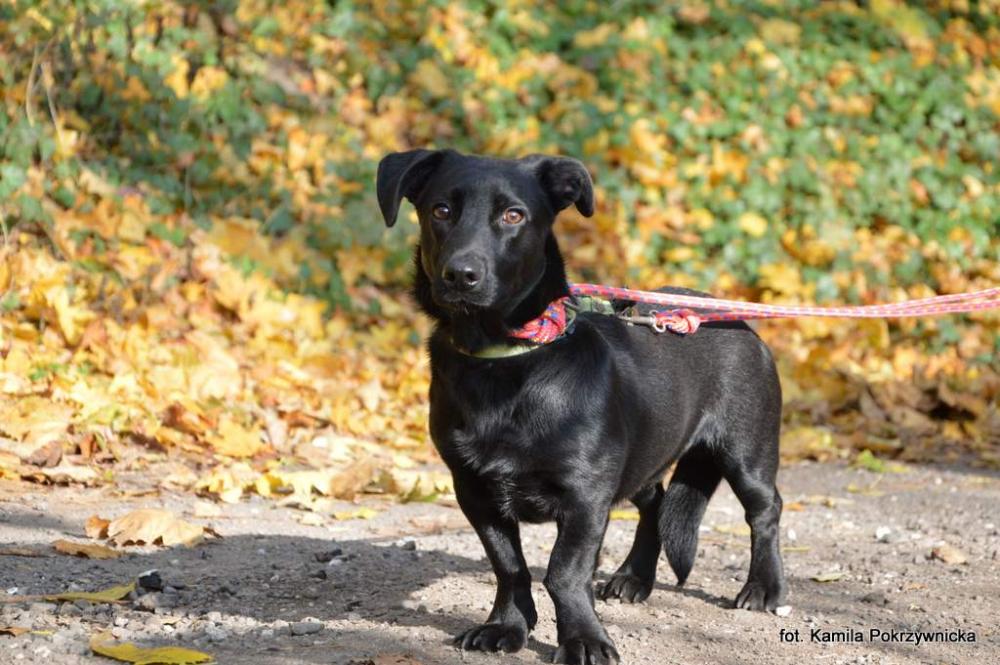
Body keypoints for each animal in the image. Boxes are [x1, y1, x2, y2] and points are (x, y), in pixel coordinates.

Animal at [376, 150, 787, 665]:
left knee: (766, 509)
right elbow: (509, 565)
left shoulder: (586, 495)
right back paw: (634, 577)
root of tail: (729, 316)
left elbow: (564, 572)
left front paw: (584, 640)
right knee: (656, 502)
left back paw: (764, 588)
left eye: (514, 216)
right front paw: (507, 626)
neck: (504, 361)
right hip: (643, 455)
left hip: (745, 452)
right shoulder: (474, 490)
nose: (461, 276)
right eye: (441, 210)